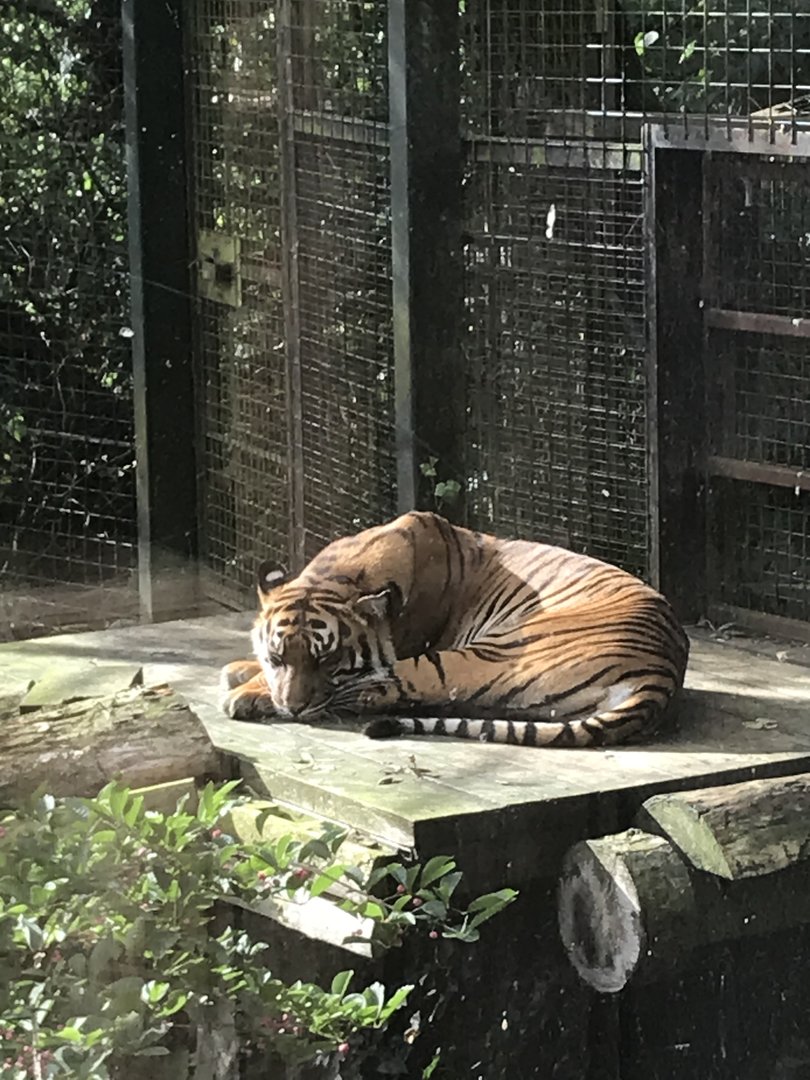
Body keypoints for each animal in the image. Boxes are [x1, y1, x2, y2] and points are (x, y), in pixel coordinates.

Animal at [220, 511, 689, 748]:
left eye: (328, 659)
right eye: (277, 656)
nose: (292, 708)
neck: (335, 578)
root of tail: (661, 674)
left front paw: (247, 692)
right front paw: (243, 669)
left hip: (481, 654)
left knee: (386, 690)